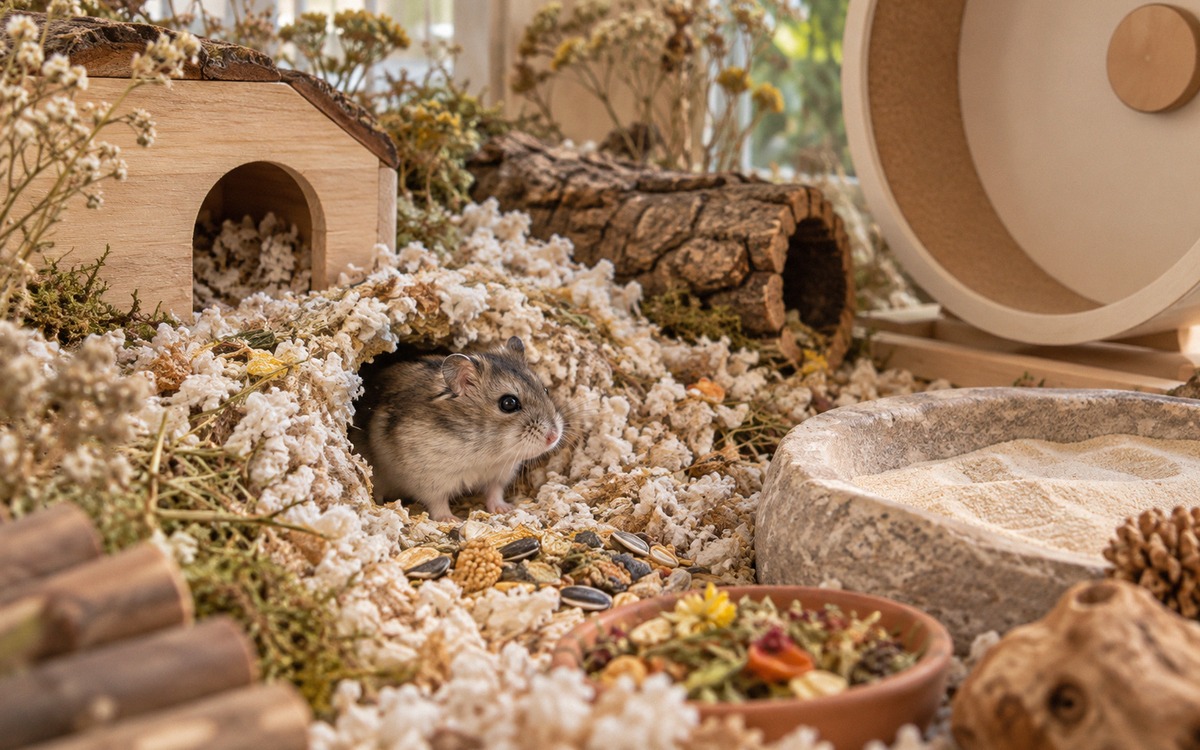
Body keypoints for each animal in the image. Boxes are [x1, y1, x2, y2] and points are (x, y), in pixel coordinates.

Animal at [351, 336, 564, 522]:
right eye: (509, 403)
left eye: (545, 390)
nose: (553, 437)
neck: (485, 451)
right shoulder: (429, 480)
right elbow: (437, 502)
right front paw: (451, 520)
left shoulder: (499, 474)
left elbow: (494, 492)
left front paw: (505, 509)